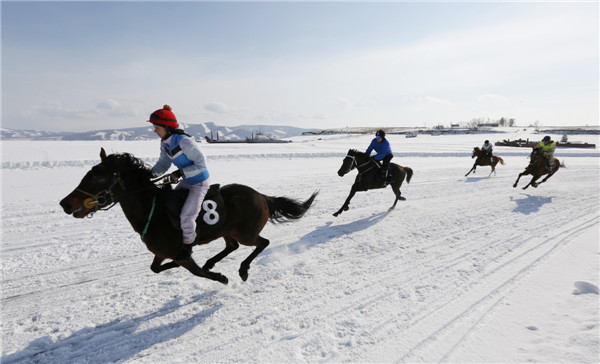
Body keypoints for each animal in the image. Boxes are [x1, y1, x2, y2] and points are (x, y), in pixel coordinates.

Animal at [59, 148, 318, 284]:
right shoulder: (162, 252)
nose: (65, 203)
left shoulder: (179, 253)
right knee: (232, 246)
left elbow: (197, 271)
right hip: (227, 230)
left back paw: (242, 270)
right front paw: (206, 267)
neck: (153, 210)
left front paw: (220, 277)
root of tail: (261, 196)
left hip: (246, 232)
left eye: (96, 177)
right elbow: (156, 268)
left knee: (262, 242)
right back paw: (213, 261)